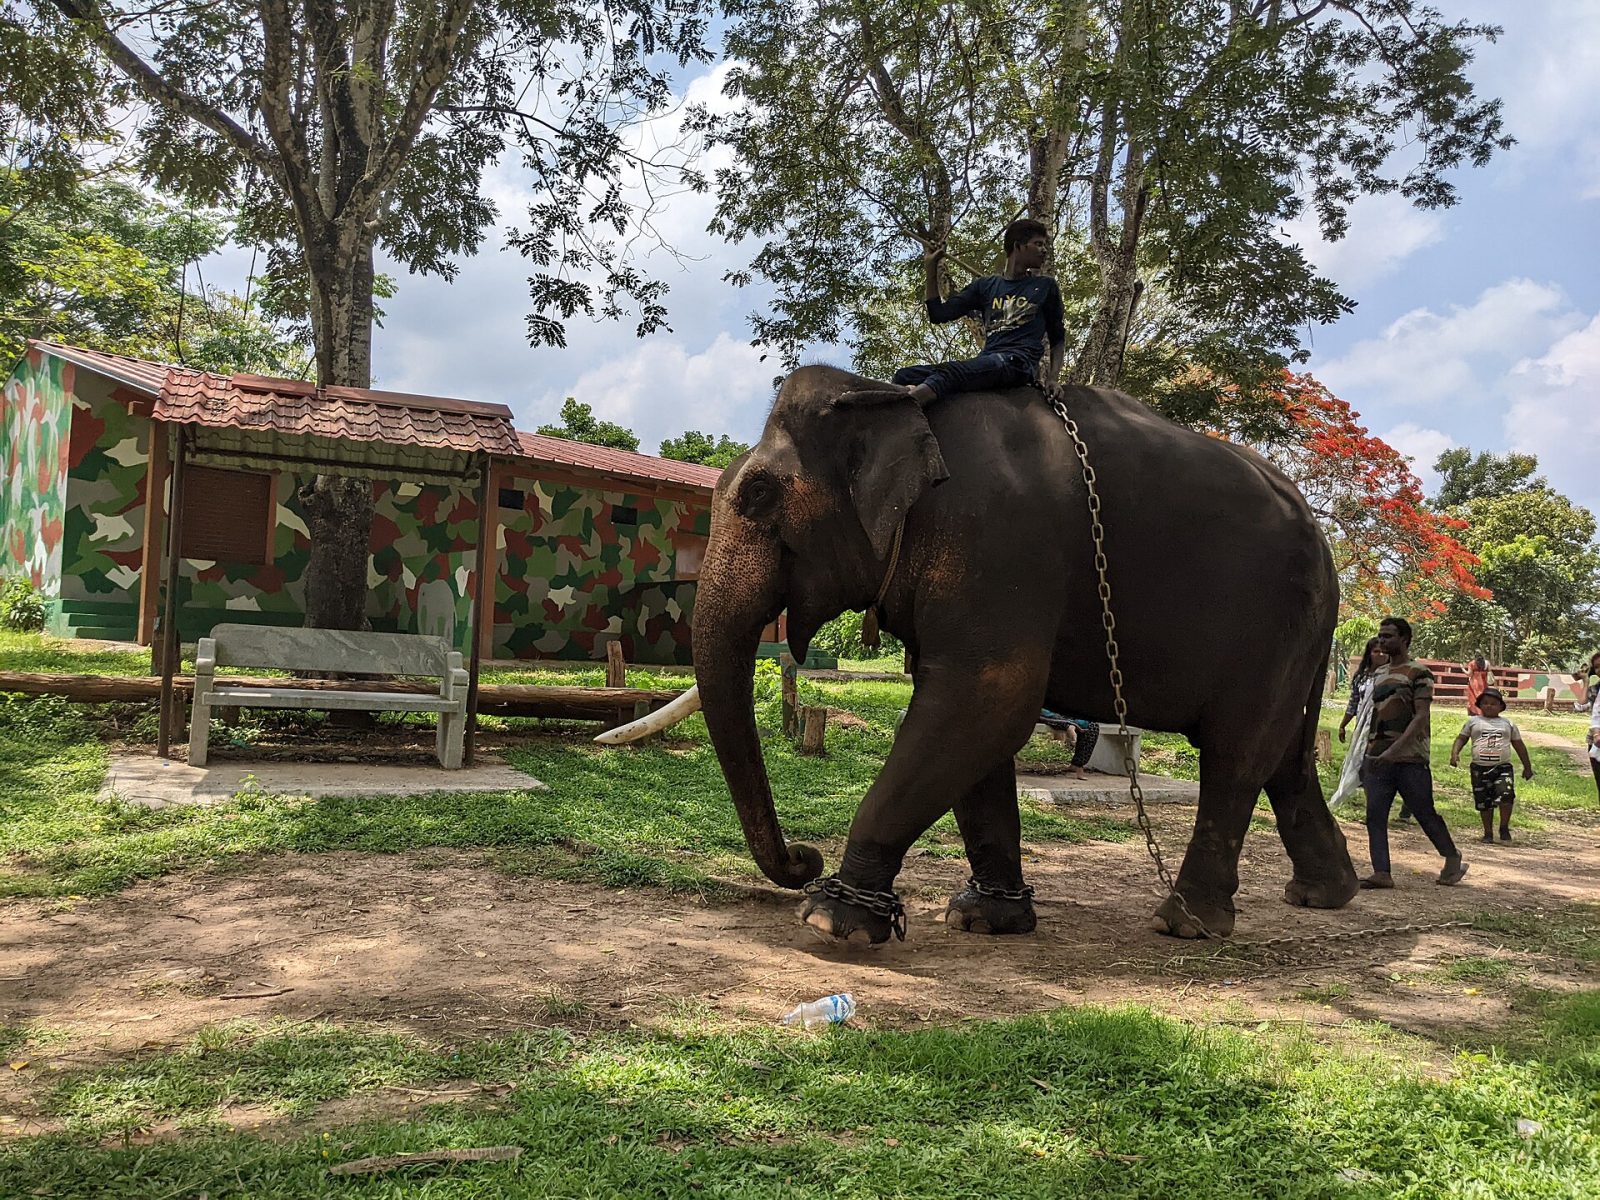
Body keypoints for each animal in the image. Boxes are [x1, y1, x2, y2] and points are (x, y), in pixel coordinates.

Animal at [691, 365, 1359, 944]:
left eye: (757, 494)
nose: (804, 857)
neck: (893, 400)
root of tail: (1329, 555)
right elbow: (970, 726)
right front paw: (984, 919)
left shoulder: (997, 539)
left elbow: (985, 700)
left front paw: (832, 921)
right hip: (1295, 638)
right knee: (1284, 757)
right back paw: (1325, 895)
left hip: (1273, 623)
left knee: (1236, 753)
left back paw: (1186, 923)